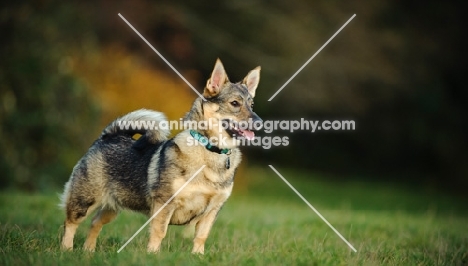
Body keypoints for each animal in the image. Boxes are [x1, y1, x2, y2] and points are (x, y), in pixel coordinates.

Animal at [59, 58, 262, 254]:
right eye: (235, 103)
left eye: (252, 105)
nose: (260, 122)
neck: (210, 149)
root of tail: (108, 136)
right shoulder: (165, 204)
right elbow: (159, 232)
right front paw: (153, 254)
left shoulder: (212, 211)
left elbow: (201, 237)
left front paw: (197, 256)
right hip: (84, 200)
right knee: (70, 223)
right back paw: (67, 249)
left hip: (112, 206)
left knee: (95, 223)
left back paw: (89, 250)